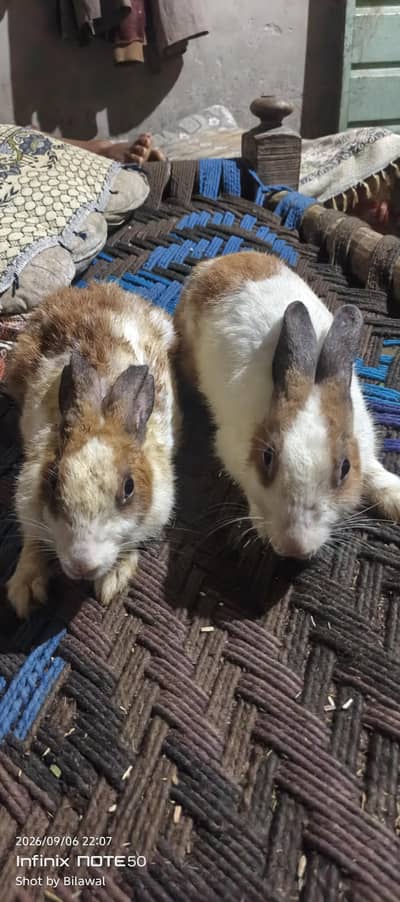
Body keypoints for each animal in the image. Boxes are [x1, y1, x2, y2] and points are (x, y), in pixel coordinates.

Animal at [6, 281, 179, 618]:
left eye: (129, 487)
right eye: (52, 482)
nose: (82, 565)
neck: (100, 410)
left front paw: (113, 581)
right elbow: (32, 542)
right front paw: (25, 591)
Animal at [174, 250, 400, 559]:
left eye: (345, 467)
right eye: (266, 457)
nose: (295, 546)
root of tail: (216, 262)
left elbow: (374, 473)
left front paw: (397, 498)